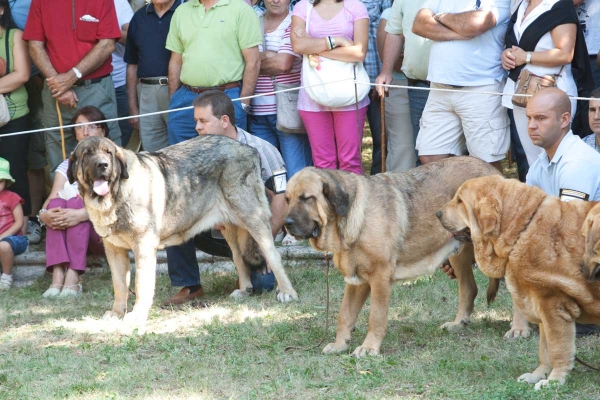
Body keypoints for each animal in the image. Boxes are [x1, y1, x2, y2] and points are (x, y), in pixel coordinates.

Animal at [67, 135, 298, 328]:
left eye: (108, 153)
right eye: (87, 154)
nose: (103, 165)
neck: (116, 195)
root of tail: (248, 148)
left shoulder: (143, 247)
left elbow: (141, 285)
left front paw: (138, 315)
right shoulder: (114, 250)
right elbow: (119, 285)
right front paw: (117, 313)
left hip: (252, 218)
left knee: (273, 256)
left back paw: (287, 292)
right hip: (230, 229)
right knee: (239, 258)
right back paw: (244, 289)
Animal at [286, 155, 502, 356]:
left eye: (306, 198)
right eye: (287, 199)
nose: (286, 223)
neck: (354, 219)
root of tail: (494, 171)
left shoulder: (380, 277)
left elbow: (376, 316)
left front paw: (369, 348)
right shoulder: (357, 281)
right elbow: (345, 314)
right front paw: (340, 344)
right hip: (458, 253)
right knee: (469, 289)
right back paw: (458, 323)